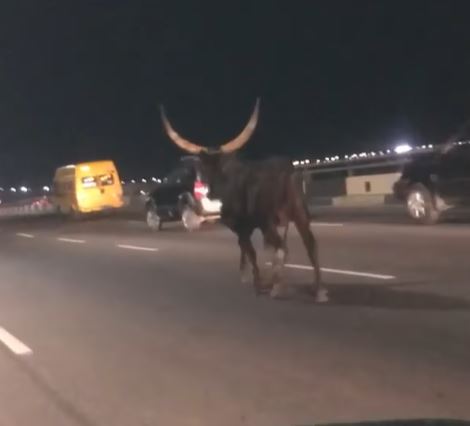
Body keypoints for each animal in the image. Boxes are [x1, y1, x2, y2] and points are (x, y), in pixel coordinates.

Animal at [160, 98, 328, 302]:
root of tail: (285, 169)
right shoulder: (248, 228)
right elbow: (250, 251)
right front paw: (251, 277)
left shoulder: (240, 227)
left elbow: (250, 252)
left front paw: (256, 283)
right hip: (300, 214)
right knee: (310, 245)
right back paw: (318, 290)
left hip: (268, 221)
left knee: (282, 247)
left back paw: (277, 288)